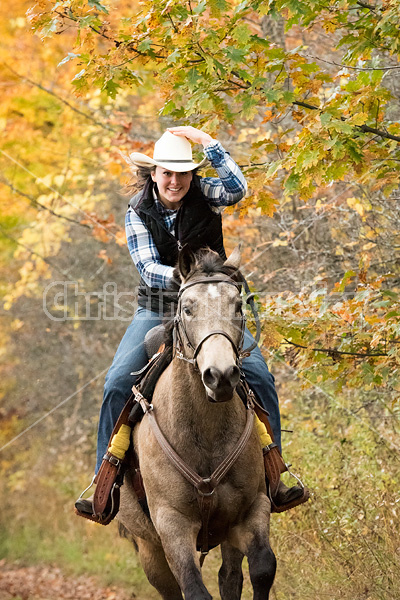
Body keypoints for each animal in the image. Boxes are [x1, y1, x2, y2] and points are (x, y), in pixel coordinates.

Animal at [117, 247, 276, 600]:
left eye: (238, 305)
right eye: (187, 308)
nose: (221, 375)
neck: (205, 433)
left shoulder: (252, 509)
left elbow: (262, 568)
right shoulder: (172, 524)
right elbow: (193, 588)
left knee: (230, 577)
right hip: (149, 548)